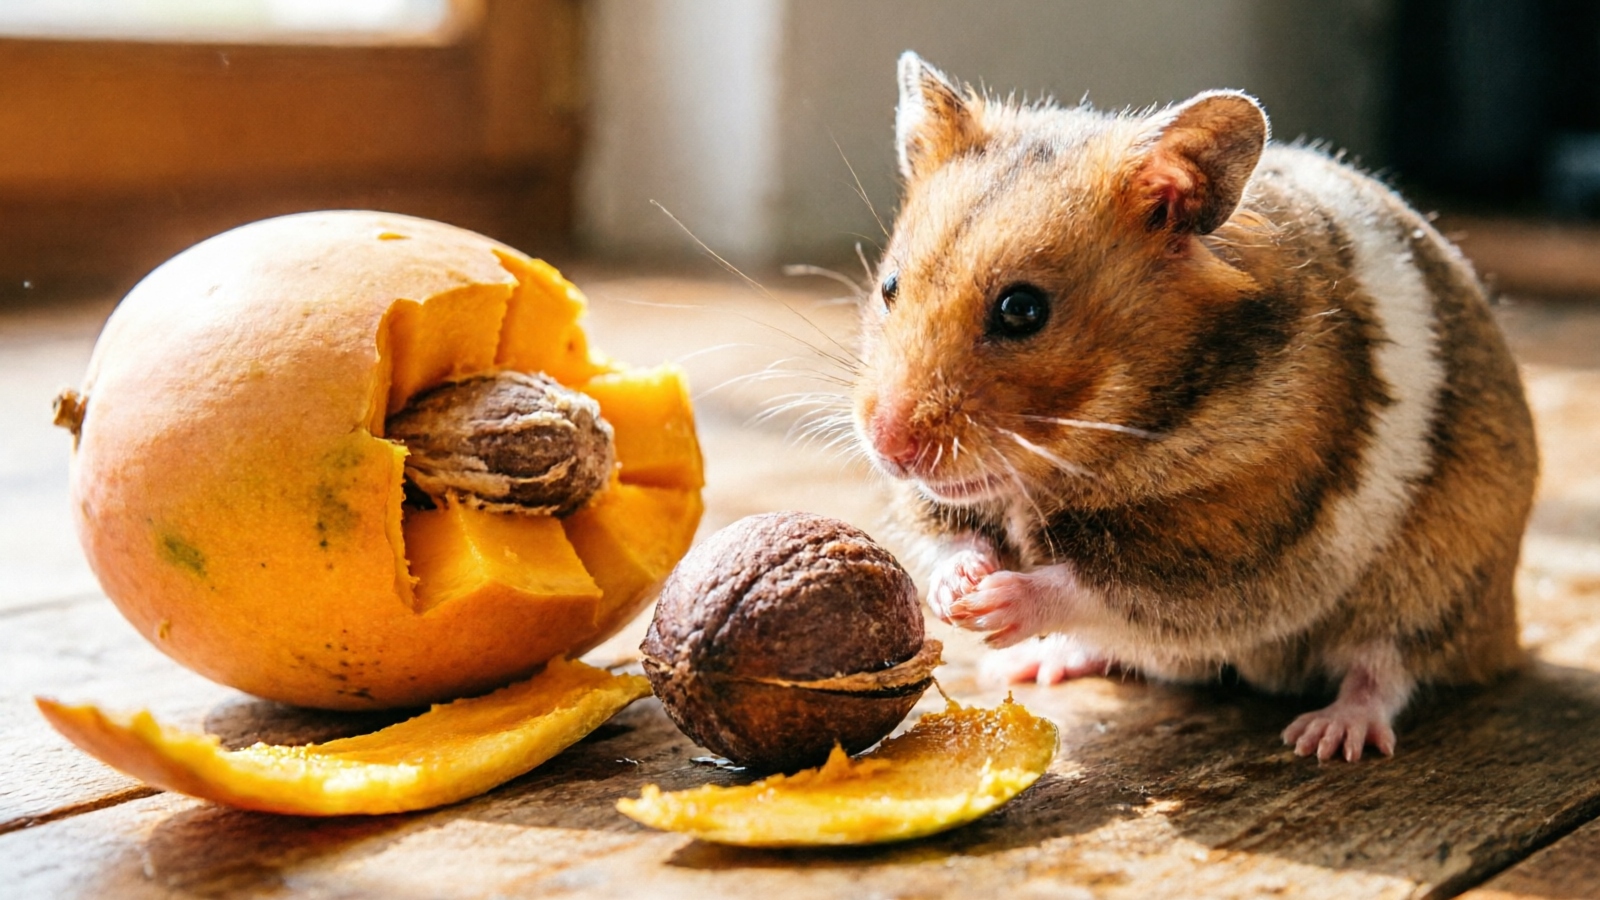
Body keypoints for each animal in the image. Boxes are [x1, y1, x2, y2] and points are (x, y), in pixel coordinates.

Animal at [852, 52, 1538, 762]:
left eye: (1022, 310)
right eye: (890, 285)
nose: (887, 447)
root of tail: (1506, 634)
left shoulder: (1228, 547)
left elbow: (1096, 588)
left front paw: (993, 606)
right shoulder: (936, 503)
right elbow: (950, 537)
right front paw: (959, 593)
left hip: (1434, 585)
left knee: (1384, 667)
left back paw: (1326, 736)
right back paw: (1031, 665)